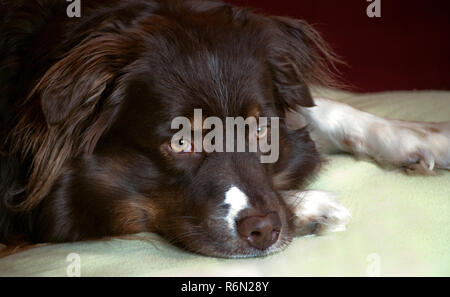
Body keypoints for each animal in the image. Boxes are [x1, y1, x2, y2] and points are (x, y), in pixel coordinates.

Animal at [0, 0, 448, 256]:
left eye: (260, 130)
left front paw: (422, 136)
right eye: (182, 140)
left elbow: (318, 106)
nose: (264, 231)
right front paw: (310, 207)